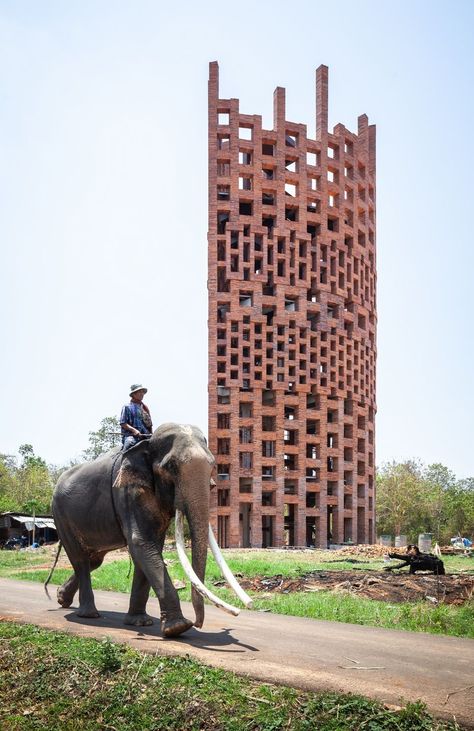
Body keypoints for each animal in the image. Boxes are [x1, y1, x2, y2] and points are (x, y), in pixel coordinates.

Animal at [48, 426, 252, 636]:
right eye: (171, 466)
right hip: (60, 515)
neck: (147, 442)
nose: (198, 623)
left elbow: (150, 548)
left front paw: (140, 623)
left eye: (213, 465)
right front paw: (178, 627)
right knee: (80, 558)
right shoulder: (128, 493)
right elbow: (141, 543)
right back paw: (88, 614)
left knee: (94, 560)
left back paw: (62, 599)